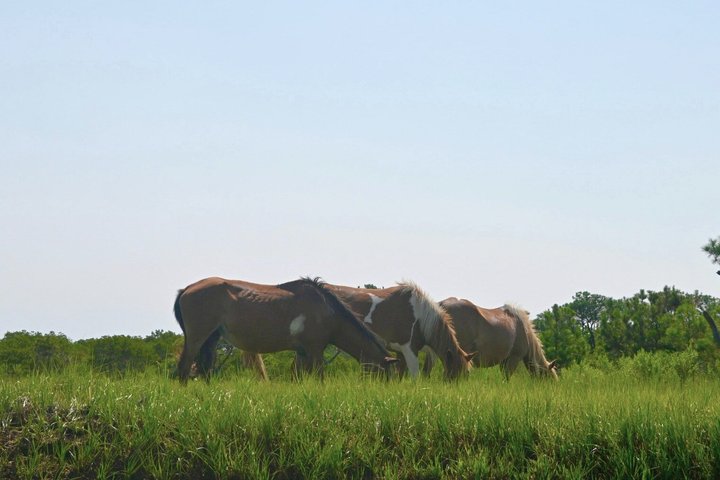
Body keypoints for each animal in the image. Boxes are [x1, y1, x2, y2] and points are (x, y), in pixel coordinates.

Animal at [173, 276, 397, 383]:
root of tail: (187, 289)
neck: (326, 311)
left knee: (204, 369)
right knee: (184, 367)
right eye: (385, 373)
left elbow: (297, 378)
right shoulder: (315, 350)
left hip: (211, 338)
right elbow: (319, 377)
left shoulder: (303, 352)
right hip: (197, 337)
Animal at [322, 282, 473, 380]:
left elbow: (399, 376)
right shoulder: (409, 350)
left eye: (466, 374)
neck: (419, 316)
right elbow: (415, 376)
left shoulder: (400, 352)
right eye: (454, 374)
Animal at [423, 298, 557, 380]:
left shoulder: (504, 361)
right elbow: (506, 378)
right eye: (549, 378)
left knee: (427, 370)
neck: (524, 329)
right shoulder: (513, 359)